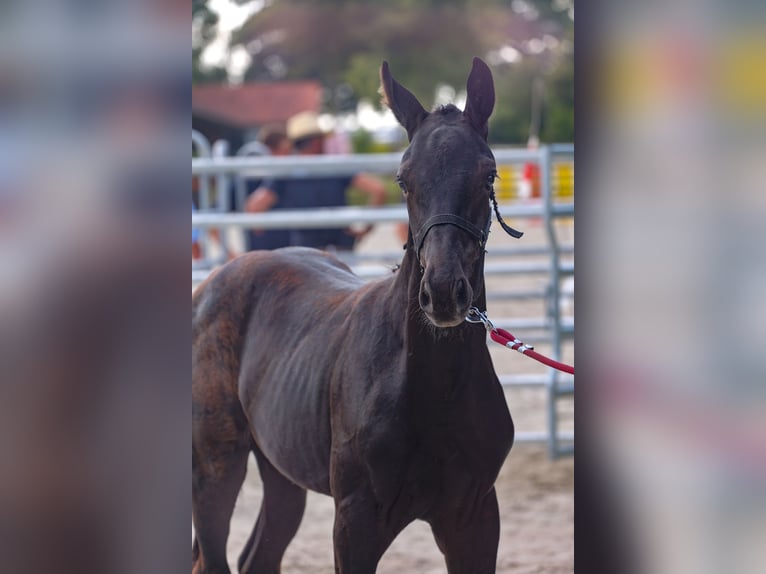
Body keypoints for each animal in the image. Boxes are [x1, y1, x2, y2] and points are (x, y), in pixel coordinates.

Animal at [192, 59, 516, 574]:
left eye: (489, 174)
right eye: (403, 178)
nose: (443, 293)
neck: (427, 385)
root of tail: (211, 285)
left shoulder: (475, 518)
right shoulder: (356, 522)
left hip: (281, 471)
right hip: (214, 466)